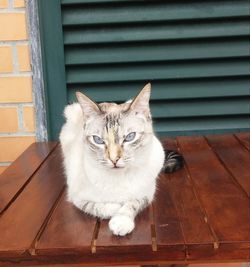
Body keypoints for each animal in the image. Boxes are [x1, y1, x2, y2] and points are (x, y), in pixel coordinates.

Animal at [59, 84, 183, 237]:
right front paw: (115, 208)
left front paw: (121, 222)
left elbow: (132, 203)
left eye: (130, 137)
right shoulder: (77, 197)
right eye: (98, 140)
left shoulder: (146, 194)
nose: (114, 159)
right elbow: (98, 206)